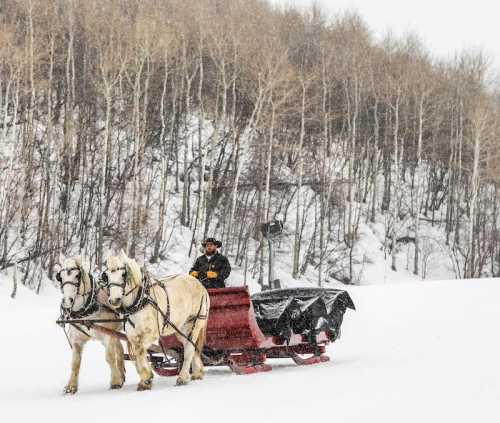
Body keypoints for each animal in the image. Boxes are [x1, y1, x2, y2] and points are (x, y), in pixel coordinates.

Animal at [56, 256, 126, 396]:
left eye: (77, 275)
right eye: (60, 277)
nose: (67, 301)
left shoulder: (107, 335)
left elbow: (110, 357)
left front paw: (115, 381)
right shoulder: (77, 340)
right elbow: (75, 363)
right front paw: (71, 387)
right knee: (120, 350)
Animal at [103, 252, 209, 390]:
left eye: (124, 274)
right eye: (106, 275)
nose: (114, 300)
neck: (140, 301)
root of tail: (201, 285)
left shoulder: (151, 334)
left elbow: (140, 351)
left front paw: (146, 379)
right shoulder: (132, 336)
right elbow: (138, 354)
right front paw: (146, 379)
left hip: (194, 324)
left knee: (189, 350)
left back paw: (182, 378)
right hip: (181, 329)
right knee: (191, 347)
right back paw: (197, 373)